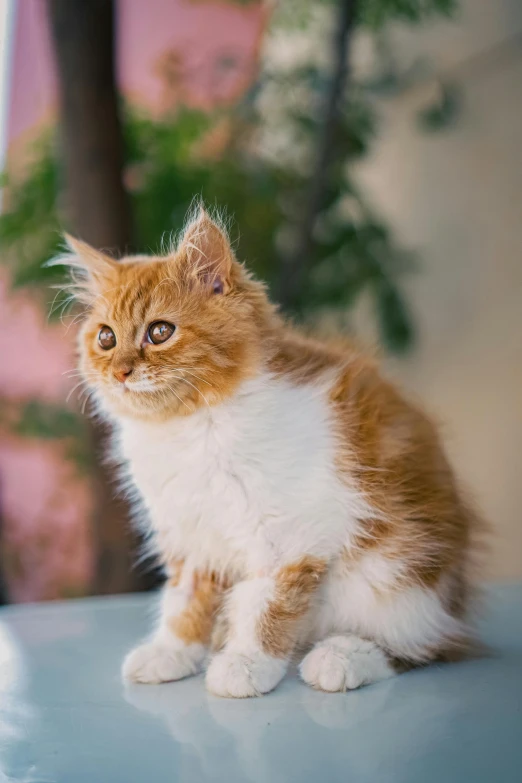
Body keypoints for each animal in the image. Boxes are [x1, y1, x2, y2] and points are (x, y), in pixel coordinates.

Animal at [60, 208, 476, 700]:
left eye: (160, 331)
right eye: (106, 338)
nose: (121, 371)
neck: (188, 429)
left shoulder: (288, 534)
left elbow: (266, 603)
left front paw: (246, 663)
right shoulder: (190, 533)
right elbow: (184, 600)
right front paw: (172, 652)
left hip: (396, 577)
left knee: (420, 646)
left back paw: (341, 657)